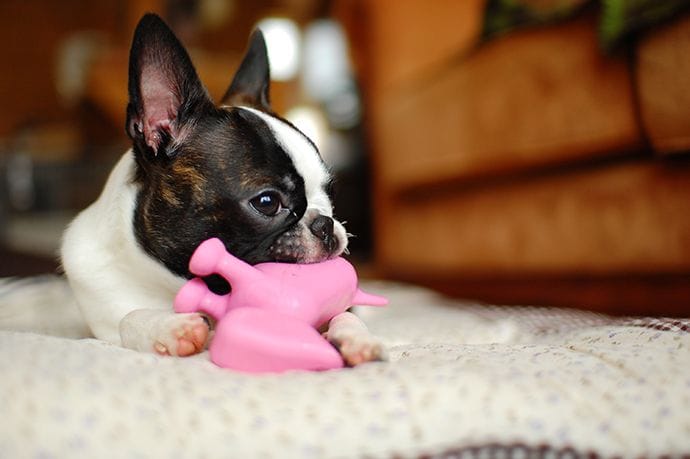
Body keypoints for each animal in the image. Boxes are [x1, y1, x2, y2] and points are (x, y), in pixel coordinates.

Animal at [0, 13, 382, 366]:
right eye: (267, 202)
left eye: (331, 191)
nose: (325, 224)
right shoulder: (103, 321)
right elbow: (128, 318)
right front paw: (168, 328)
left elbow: (344, 313)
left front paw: (356, 339)